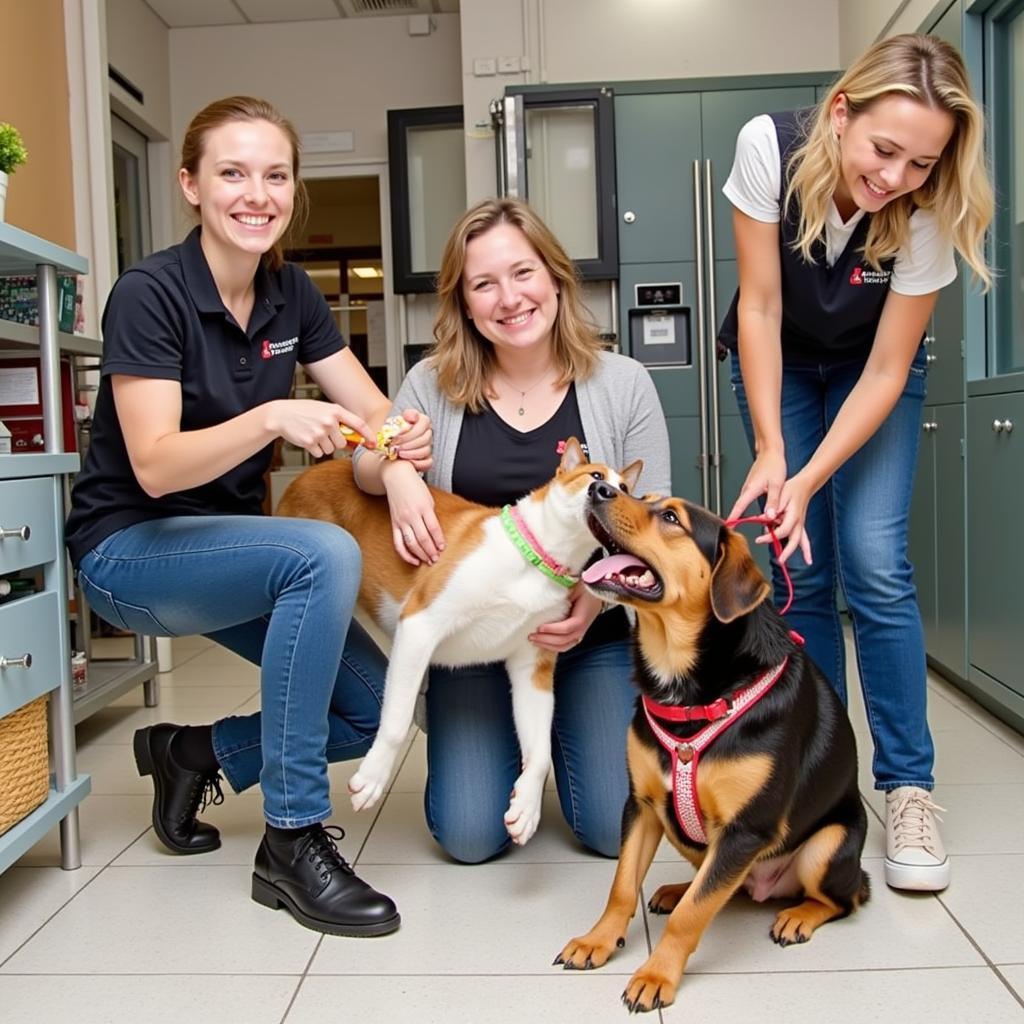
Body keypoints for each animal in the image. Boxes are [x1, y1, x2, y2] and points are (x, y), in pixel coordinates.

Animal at [274, 440, 638, 847]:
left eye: (626, 490)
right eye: (595, 475)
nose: (606, 492)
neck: (537, 558)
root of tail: (306, 475)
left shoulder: (533, 667)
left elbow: (540, 752)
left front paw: (527, 806)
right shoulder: (420, 627)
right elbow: (396, 722)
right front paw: (373, 777)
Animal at [557, 483, 868, 1011]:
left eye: (670, 517)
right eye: (636, 494)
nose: (599, 486)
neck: (681, 682)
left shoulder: (745, 829)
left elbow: (694, 915)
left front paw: (656, 975)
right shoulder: (641, 805)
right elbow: (622, 887)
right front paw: (598, 940)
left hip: (826, 847)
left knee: (843, 899)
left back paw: (799, 915)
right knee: (719, 882)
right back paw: (677, 889)